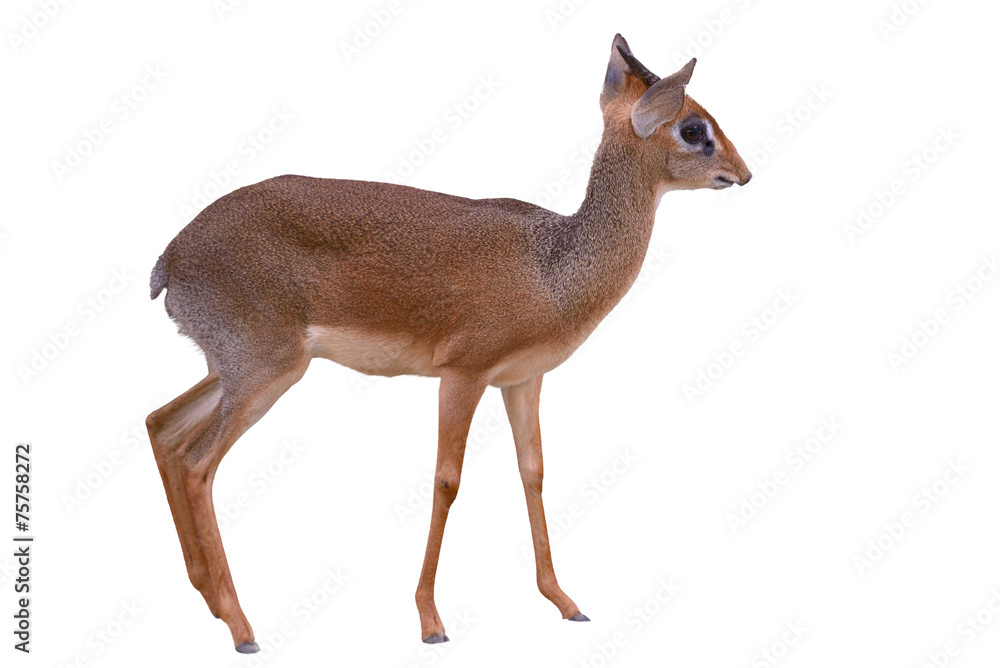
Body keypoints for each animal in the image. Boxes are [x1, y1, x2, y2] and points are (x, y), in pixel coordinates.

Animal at [145, 33, 751, 653]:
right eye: (694, 128)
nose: (744, 173)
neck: (552, 268)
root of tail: (169, 259)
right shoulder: (463, 374)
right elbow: (447, 480)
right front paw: (431, 621)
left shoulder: (522, 379)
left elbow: (533, 470)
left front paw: (565, 602)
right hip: (266, 370)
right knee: (197, 463)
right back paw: (242, 627)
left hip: (234, 369)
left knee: (162, 426)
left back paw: (210, 599)